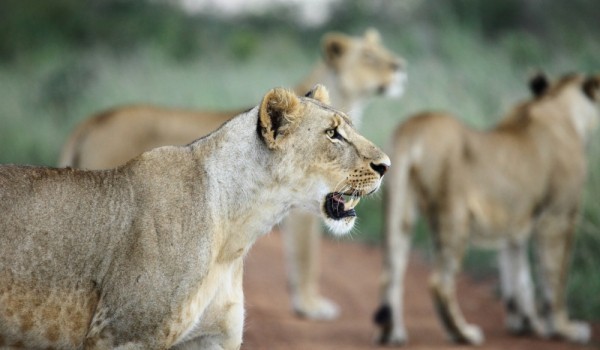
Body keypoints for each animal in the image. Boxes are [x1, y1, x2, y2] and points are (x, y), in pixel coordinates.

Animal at [0, 85, 392, 350]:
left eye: (349, 127)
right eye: (333, 134)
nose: (386, 165)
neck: (235, 234)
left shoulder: (211, 338)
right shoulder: (123, 333)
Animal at [372, 72, 596, 346]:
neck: (556, 103)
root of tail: (413, 127)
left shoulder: (515, 223)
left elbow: (519, 276)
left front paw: (526, 322)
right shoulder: (558, 217)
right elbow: (556, 275)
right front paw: (565, 329)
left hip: (399, 208)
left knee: (390, 271)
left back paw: (392, 333)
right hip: (454, 215)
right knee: (439, 282)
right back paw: (463, 333)